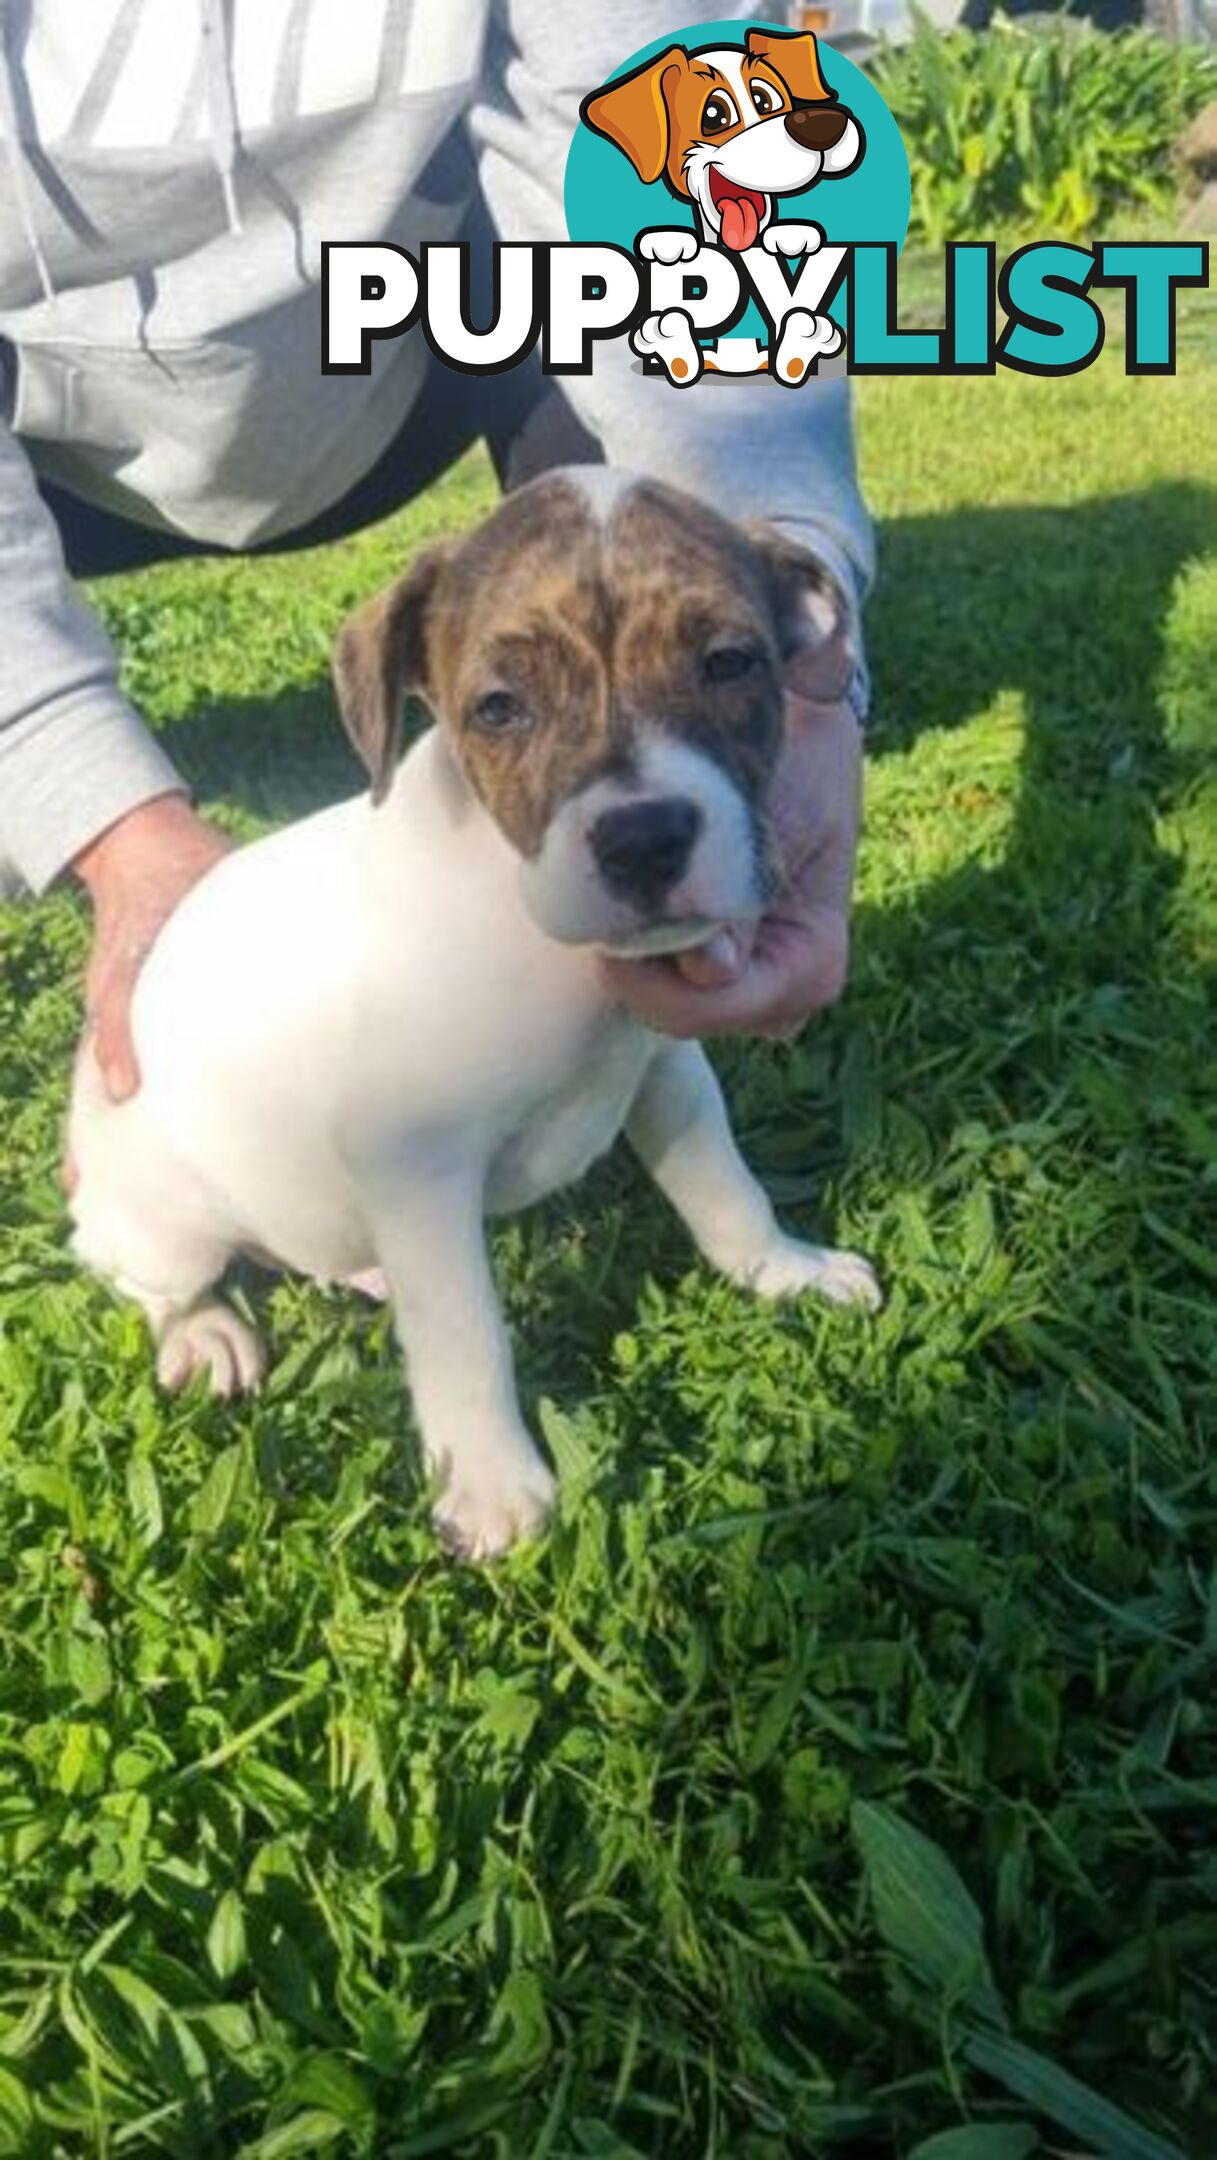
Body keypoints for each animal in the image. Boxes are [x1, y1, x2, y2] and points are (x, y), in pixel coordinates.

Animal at [66, 473, 881, 1555]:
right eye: (498, 709)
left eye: (728, 663)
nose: (644, 838)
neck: (528, 922)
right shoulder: (419, 1167)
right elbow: (464, 1332)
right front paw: (494, 1482)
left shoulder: (668, 1074)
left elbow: (725, 1190)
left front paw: (784, 1271)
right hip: (166, 1219)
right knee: (142, 1275)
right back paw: (205, 1332)